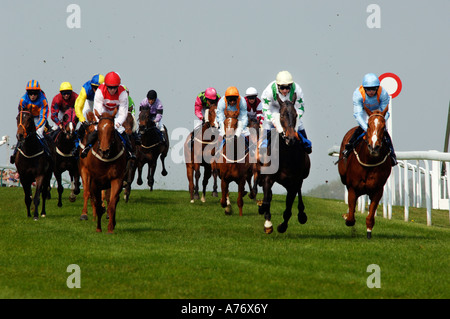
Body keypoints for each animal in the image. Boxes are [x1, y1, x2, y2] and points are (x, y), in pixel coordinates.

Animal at [258, 94, 312, 234]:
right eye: (281, 115)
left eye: (296, 115)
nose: (291, 138)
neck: (286, 156)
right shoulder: (268, 178)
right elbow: (266, 201)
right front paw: (267, 222)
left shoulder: (294, 182)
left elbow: (288, 209)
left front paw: (282, 226)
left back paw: (302, 214)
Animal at [336, 106, 392, 239]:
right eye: (368, 125)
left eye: (383, 126)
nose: (374, 147)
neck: (369, 162)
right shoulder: (353, 188)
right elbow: (351, 218)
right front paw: (347, 216)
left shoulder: (377, 190)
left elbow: (370, 215)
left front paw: (369, 231)